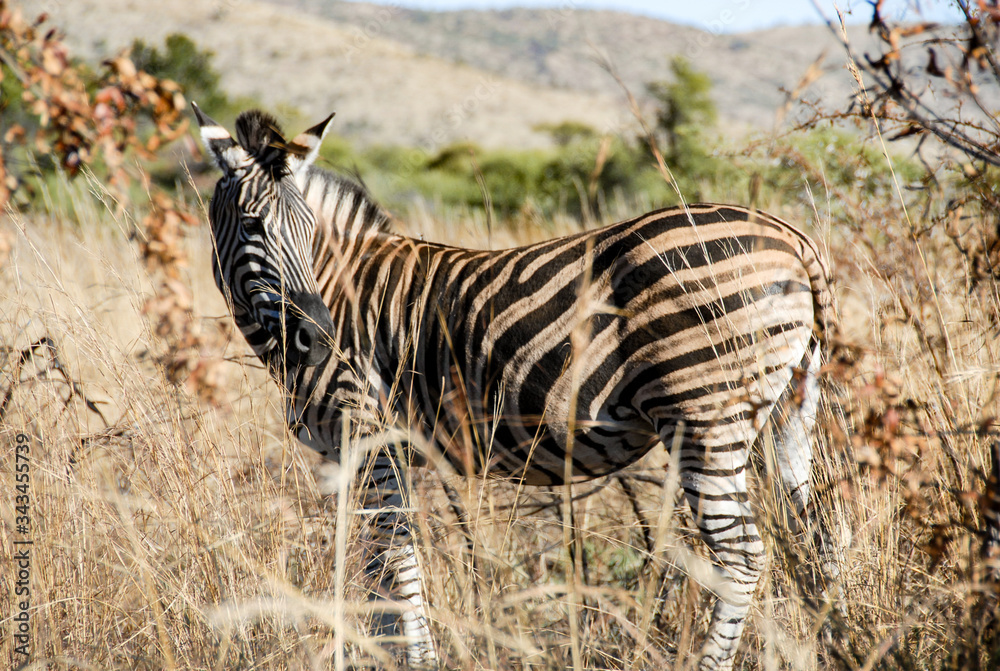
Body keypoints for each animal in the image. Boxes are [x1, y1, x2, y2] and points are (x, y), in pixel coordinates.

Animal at [194, 104, 836, 671]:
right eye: (252, 227)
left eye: (308, 231)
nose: (319, 336)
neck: (340, 285)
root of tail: (792, 237)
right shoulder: (371, 453)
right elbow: (381, 577)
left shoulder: (370, 441)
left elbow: (393, 566)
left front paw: (413, 661)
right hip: (788, 413)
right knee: (818, 540)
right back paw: (832, 642)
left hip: (706, 415)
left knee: (743, 558)